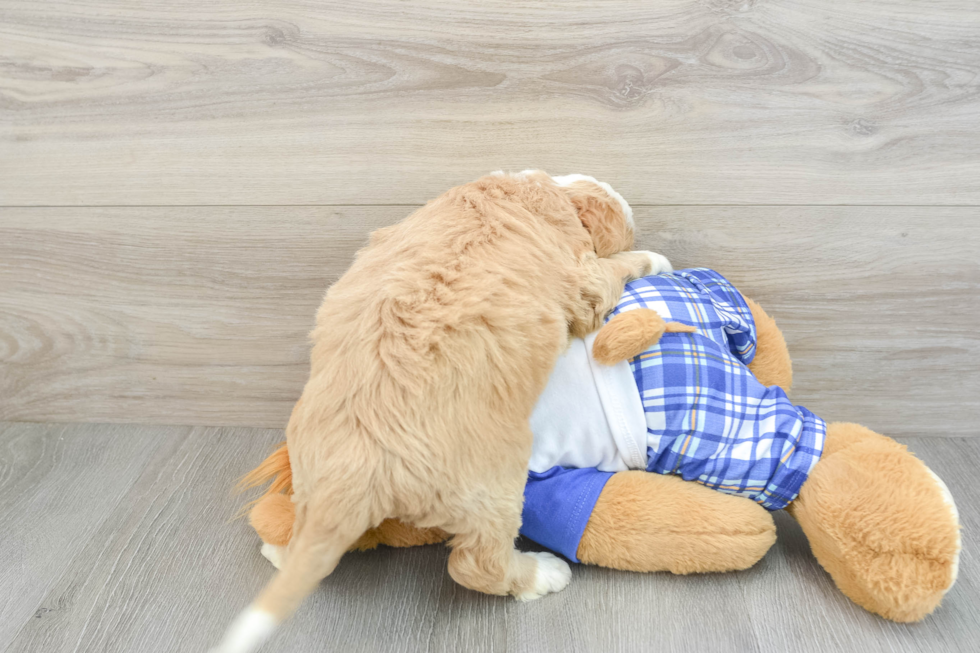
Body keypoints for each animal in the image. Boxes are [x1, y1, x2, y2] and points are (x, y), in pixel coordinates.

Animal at [212, 171, 672, 648]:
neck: (539, 189)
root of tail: (355, 470)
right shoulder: (585, 278)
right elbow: (616, 268)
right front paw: (654, 257)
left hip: (307, 466)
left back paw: (279, 549)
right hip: (495, 484)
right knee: (477, 565)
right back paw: (542, 574)